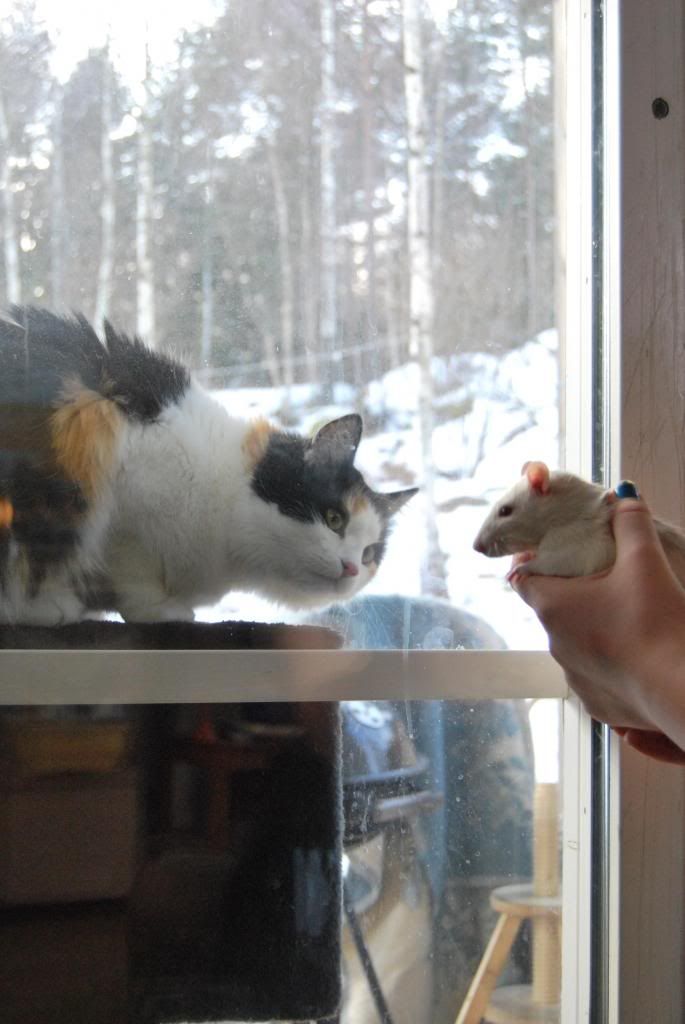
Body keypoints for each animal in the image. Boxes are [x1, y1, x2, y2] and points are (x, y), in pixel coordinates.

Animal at [0, 306, 417, 626]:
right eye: (334, 519)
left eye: (370, 554)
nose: (352, 568)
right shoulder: (127, 500)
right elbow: (131, 571)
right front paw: (155, 609)